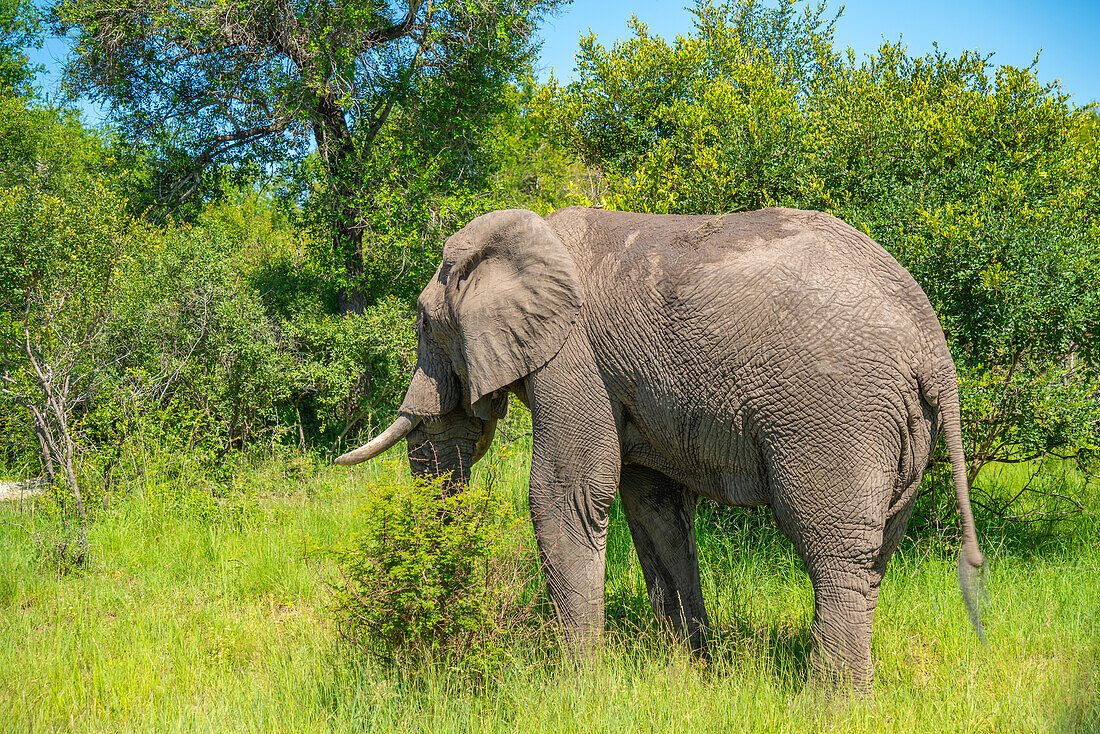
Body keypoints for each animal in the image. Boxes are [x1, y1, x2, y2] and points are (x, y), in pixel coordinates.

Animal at [334, 207, 990, 695]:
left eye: (423, 324)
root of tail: (935, 349)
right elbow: (654, 507)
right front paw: (691, 671)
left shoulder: (573, 353)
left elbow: (564, 494)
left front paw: (576, 688)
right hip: (903, 427)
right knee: (876, 555)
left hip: (836, 411)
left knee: (834, 551)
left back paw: (829, 705)